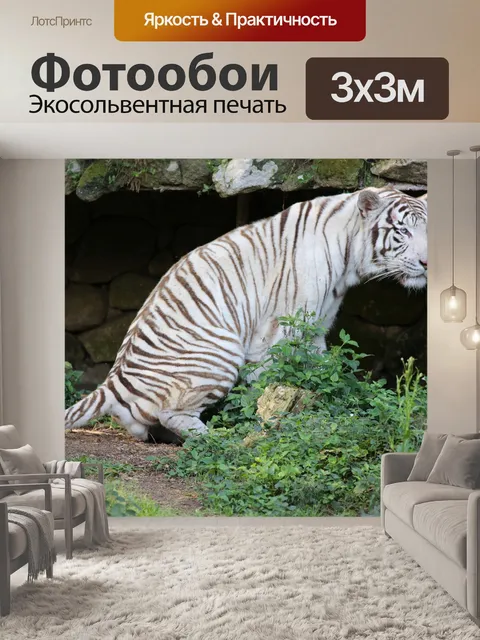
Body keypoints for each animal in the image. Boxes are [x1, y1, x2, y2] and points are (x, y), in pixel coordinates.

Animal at [65, 186, 428, 442]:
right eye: (402, 232)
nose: (426, 262)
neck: (348, 260)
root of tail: (112, 382)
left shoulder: (317, 328)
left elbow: (324, 373)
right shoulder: (283, 329)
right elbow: (274, 379)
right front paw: (268, 420)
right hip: (221, 353)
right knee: (171, 412)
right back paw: (215, 437)